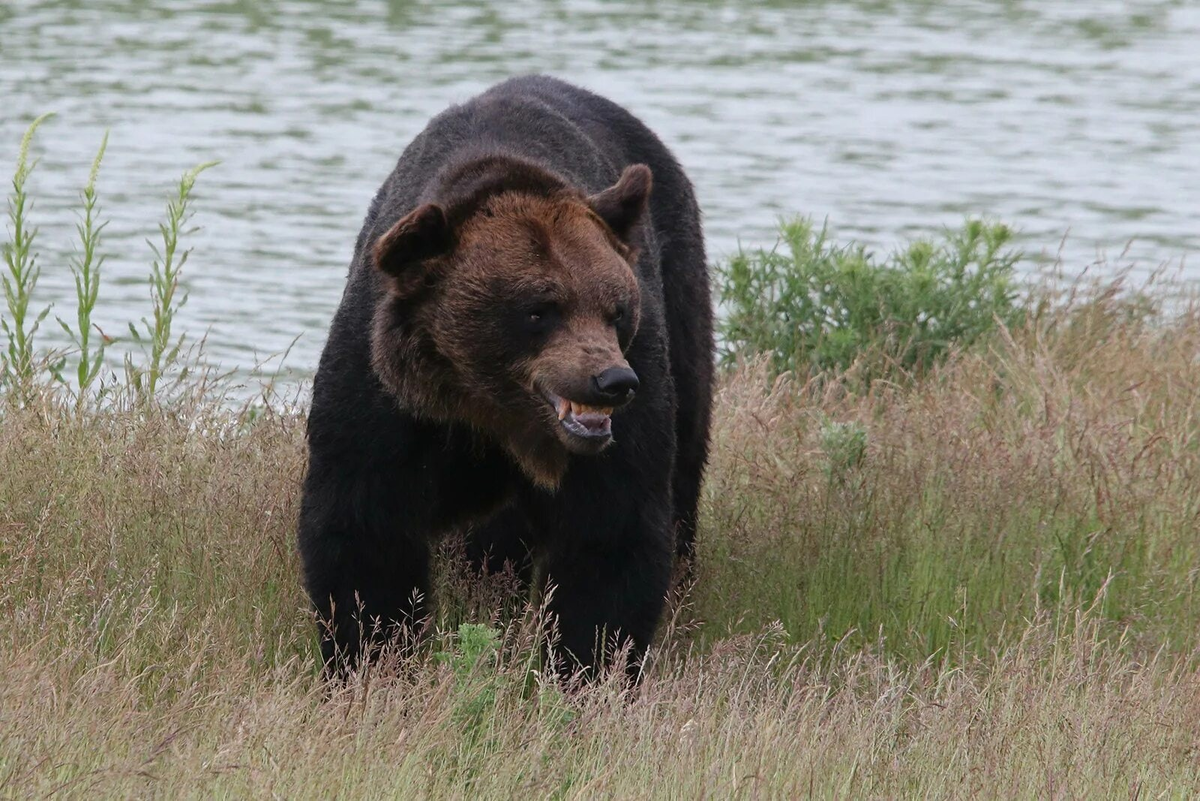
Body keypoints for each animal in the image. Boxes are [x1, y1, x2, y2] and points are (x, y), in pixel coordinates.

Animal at [298, 73, 710, 676]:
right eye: (539, 310)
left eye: (617, 309)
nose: (611, 381)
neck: (488, 407)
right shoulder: (384, 397)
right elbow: (363, 528)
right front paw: (371, 659)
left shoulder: (631, 409)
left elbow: (613, 534)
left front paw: (586, 668)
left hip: (682, 299)